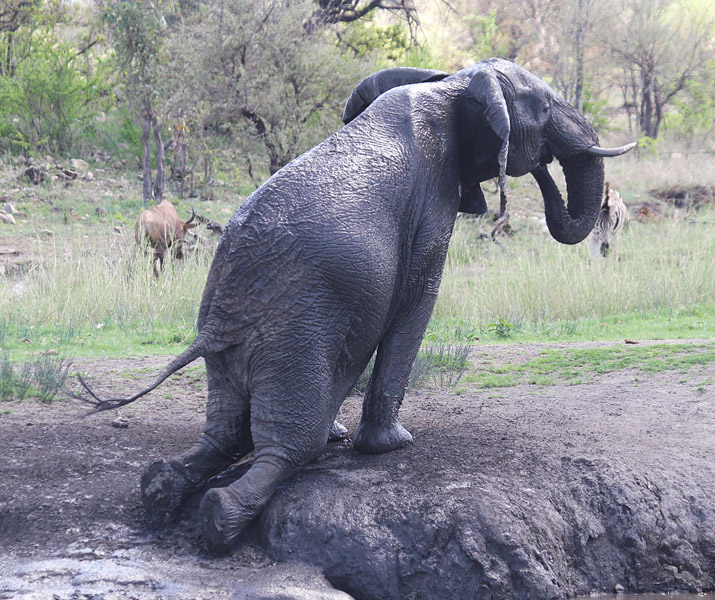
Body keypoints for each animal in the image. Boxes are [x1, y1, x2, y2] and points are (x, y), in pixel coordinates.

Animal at [81, 57, 636, 552]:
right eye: (543, 108)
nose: (542, 166)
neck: (452, 83)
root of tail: (218, 323)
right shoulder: (431, 202)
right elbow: (416, 300)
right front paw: (393, 445)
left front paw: (355, 437)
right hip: (295, 333)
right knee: (285, 447)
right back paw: (223, 516)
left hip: (241, 348)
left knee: (225, 436)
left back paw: (162, 488)